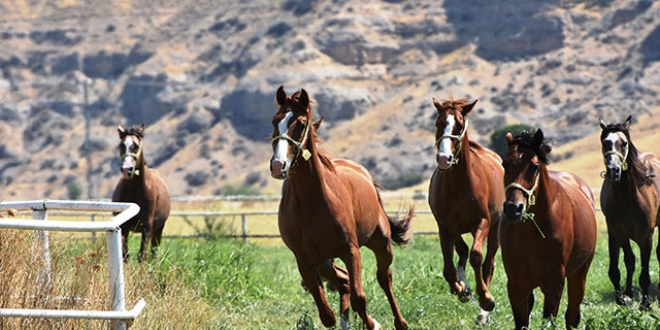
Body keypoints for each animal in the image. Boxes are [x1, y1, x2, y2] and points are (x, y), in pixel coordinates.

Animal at [112, 124, 171, 262]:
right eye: (121, 145)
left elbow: (142, 255)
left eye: (136, 145)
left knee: (154, 251)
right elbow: (125, 255)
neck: (136, 190)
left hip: (158, 228)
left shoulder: (147, 226)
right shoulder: (124, 227)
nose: (126, 169)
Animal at [426, 97, 502, 322]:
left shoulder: (482, 222)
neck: (459, 185)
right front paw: (461, 289)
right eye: (438, 123)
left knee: (488, 263)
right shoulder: (444, 227)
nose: (444, 159)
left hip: (495, 228)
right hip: (456, 229)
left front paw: (486, 298)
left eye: (459, 126)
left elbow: (477, 256)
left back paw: (484, 311)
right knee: (462, 251)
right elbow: (448, 269)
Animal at [500, 130, 600, 328]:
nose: (514, 209)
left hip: (579, 274)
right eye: (505, 164)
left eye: (534, 167)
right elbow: (522, 322)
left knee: (572, 315)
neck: (530, 235)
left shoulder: (554, 284)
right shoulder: (516, 285)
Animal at [600, 116, 660, 310]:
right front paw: (622, 299)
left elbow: (645, 273)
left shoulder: (646, 238)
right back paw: (628, 294)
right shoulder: (616, 234)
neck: (628, 199)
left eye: (624, 143)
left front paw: (646, 304)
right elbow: (618, 268)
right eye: (605, 142)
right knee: (630, 261)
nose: (614, 171)